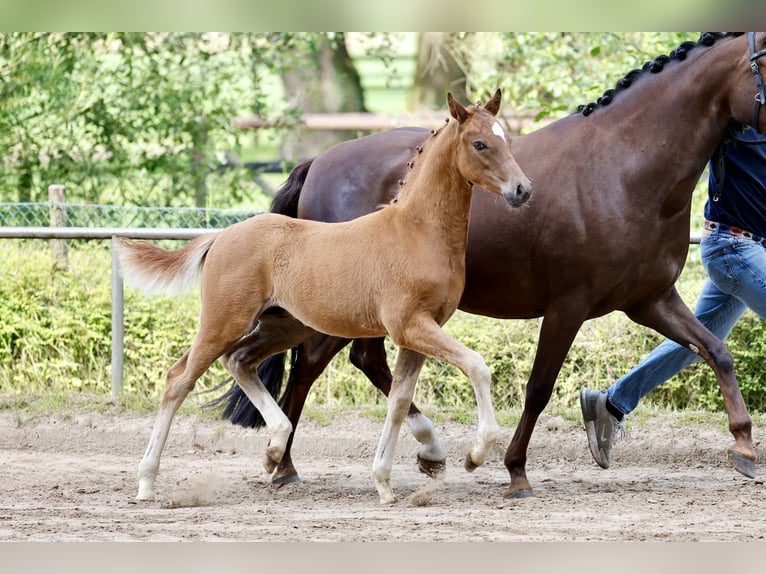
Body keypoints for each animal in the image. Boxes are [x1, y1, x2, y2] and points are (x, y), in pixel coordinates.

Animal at [117, 90, 533, 504]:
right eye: (479, 144)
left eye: (509, 142)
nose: (522, 190)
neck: (417, 231)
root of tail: (220, 237)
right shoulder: (410, 325)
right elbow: (476, 365)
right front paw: (475, 455)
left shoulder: (417, 333)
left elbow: (399, 401)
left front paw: (385, 483)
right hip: (224, 321)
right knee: (179, 379)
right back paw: (147, 481)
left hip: (285, 327)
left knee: (240, 360)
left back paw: (275, 446)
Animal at [213, 32, 766, 499]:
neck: (624, 169)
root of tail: (320, 162)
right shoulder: (568, 305)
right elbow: (539, 388)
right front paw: (515, 471)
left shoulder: (651, 300)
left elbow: (716, 351)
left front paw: (743, 446)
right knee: (310, 366)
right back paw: (286, 463)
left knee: (362, 362)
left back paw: (414, 452)